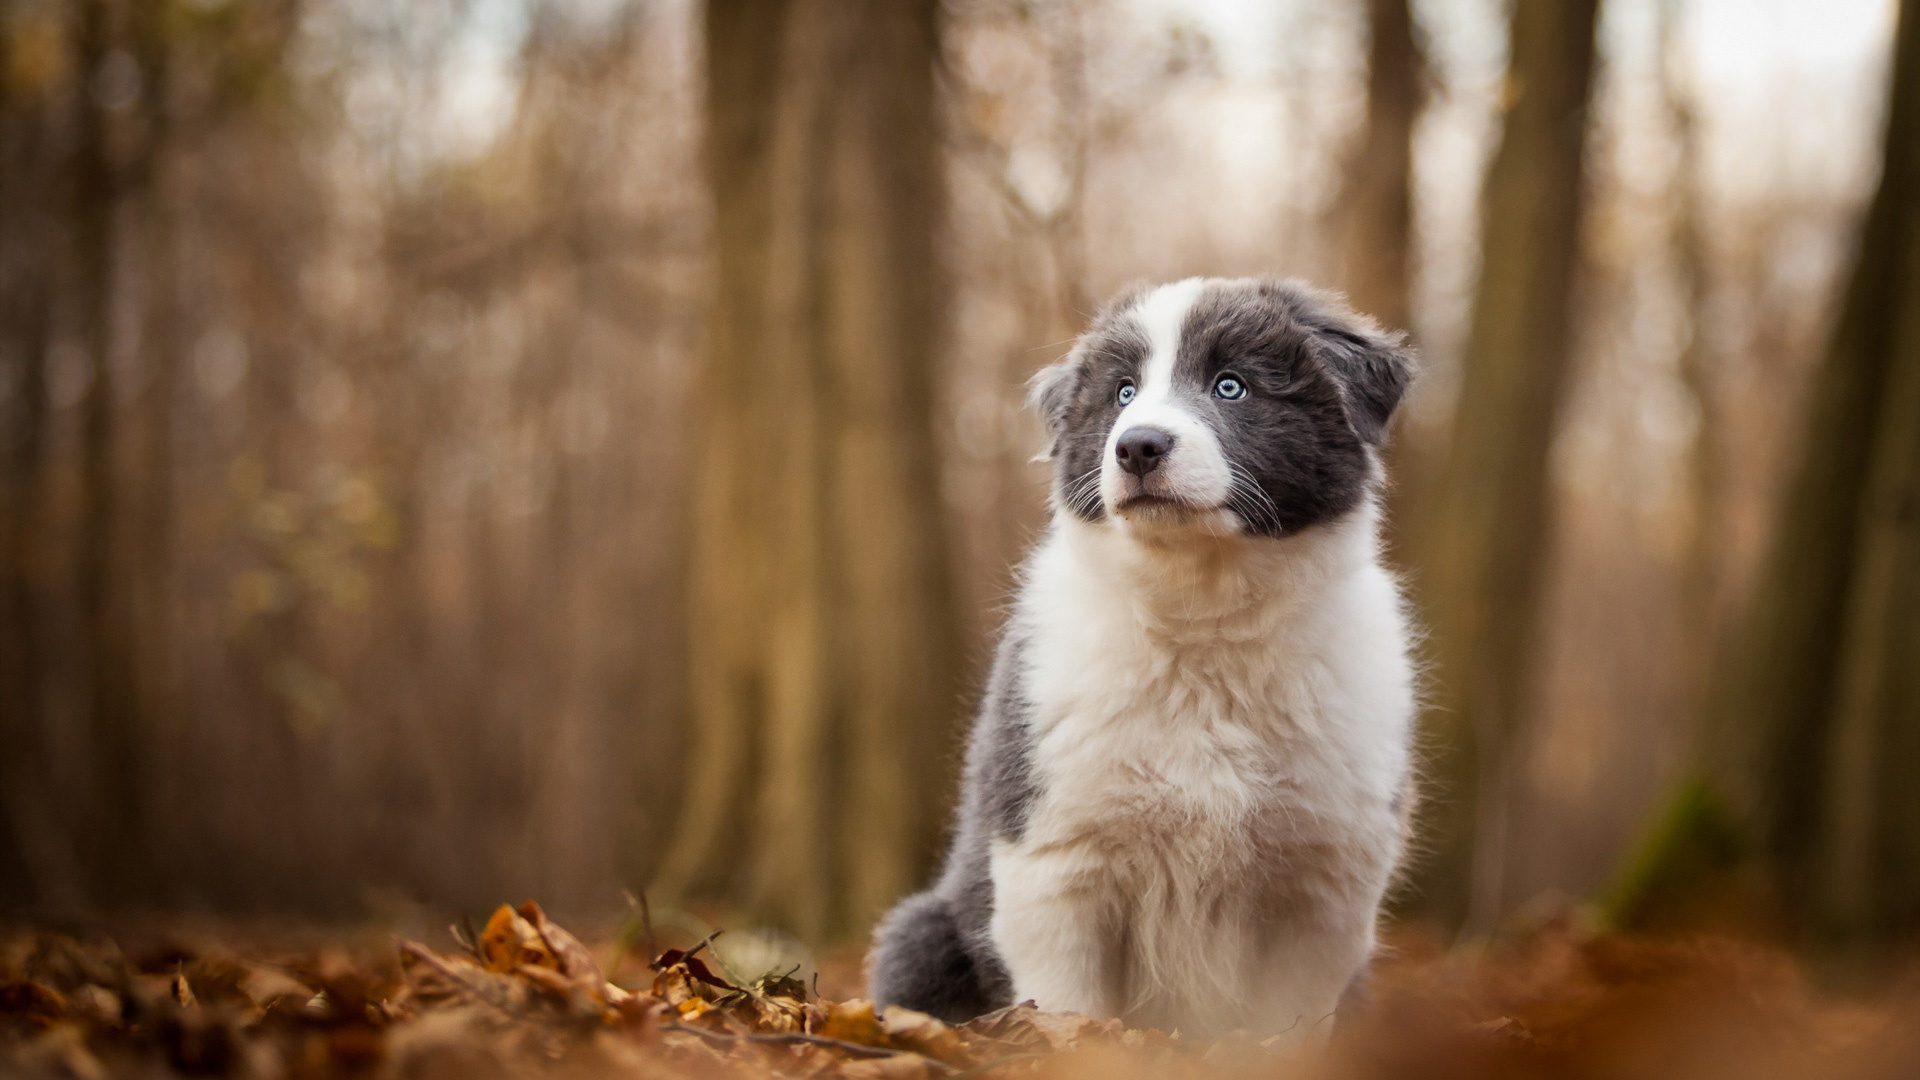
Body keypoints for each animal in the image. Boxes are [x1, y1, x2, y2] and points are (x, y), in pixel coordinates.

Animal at [871, 274, 1428, 1037]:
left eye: (1231, 386)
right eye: (1124, 393)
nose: (1137, 446)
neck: (1203, 622)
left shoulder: (1323, 876)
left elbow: (1289, 1022)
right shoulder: (1055, 859)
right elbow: (1066, 1007)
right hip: (922, 933)